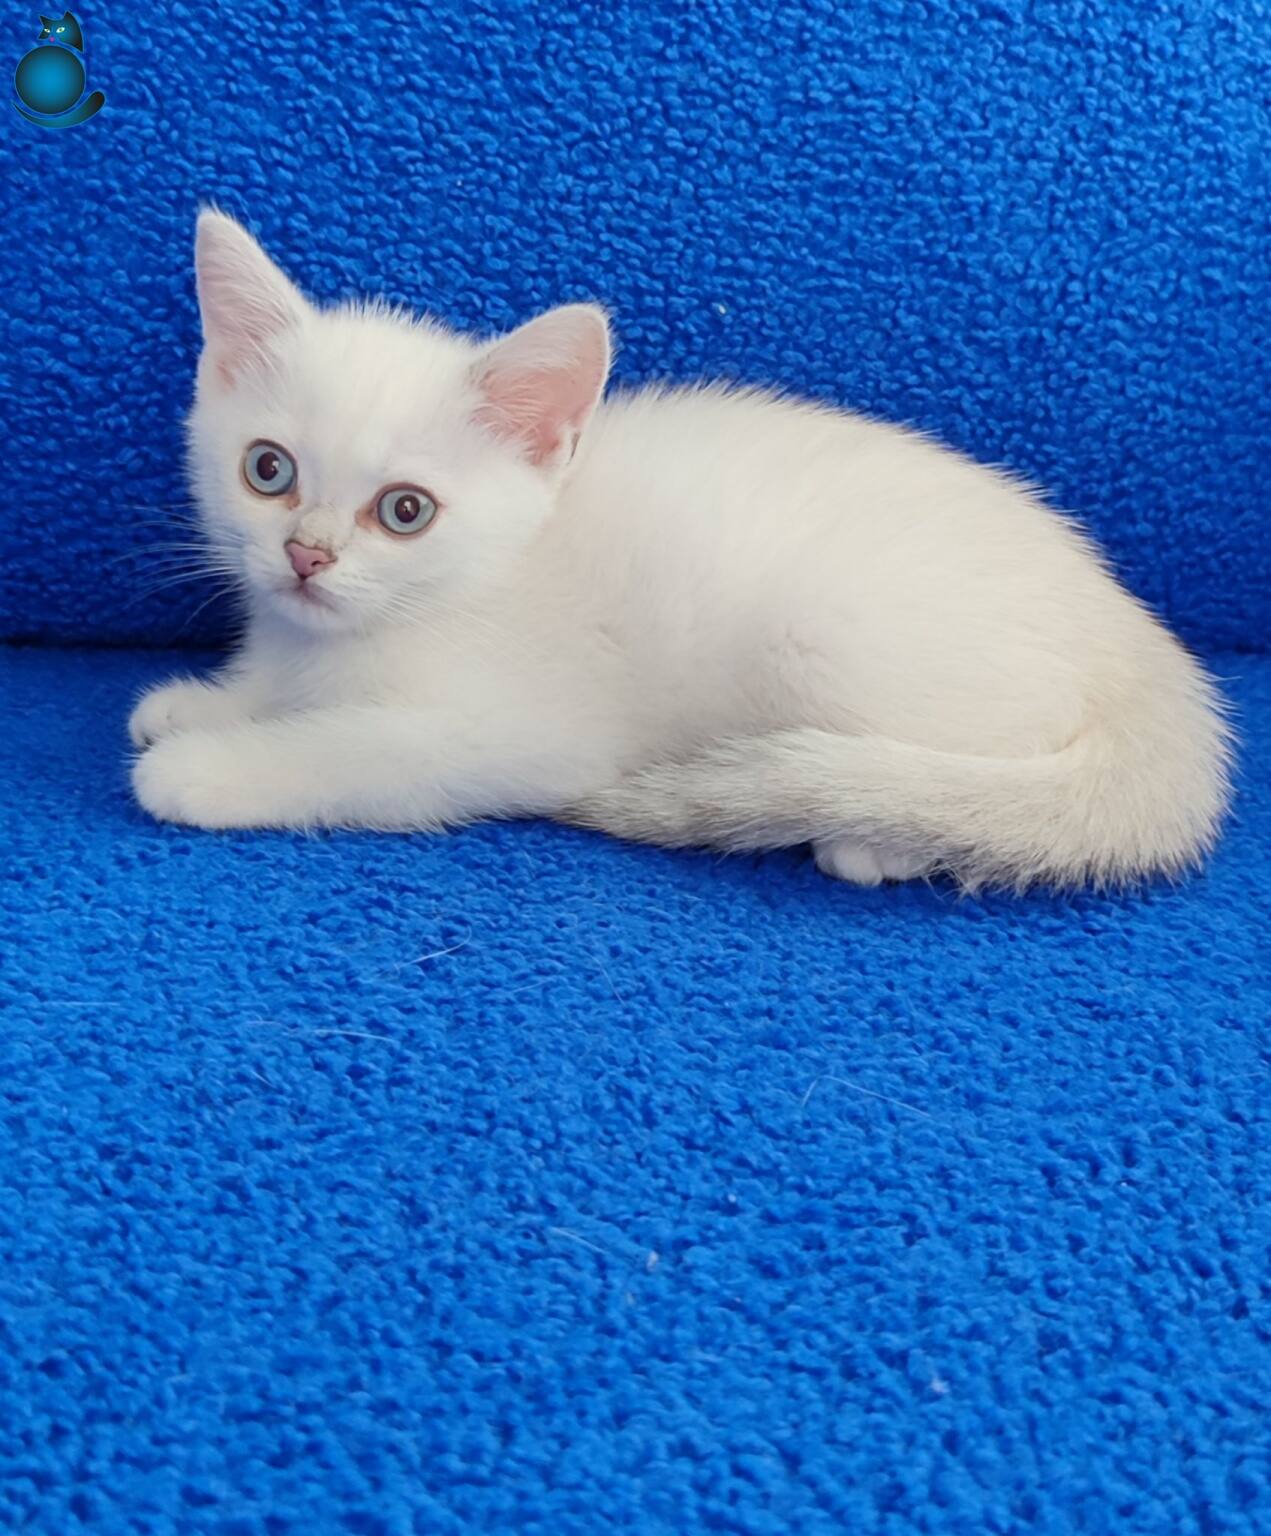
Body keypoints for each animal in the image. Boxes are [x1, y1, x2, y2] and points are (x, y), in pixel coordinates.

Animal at [129, 211, 1233, 891]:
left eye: (405, 512)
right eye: (268, 470)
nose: (306, 556)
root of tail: (1141, 647)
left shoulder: (516, 736)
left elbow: (350, 752)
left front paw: (206, 768)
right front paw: (205, 703)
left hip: (831, 636)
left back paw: (870, 840)